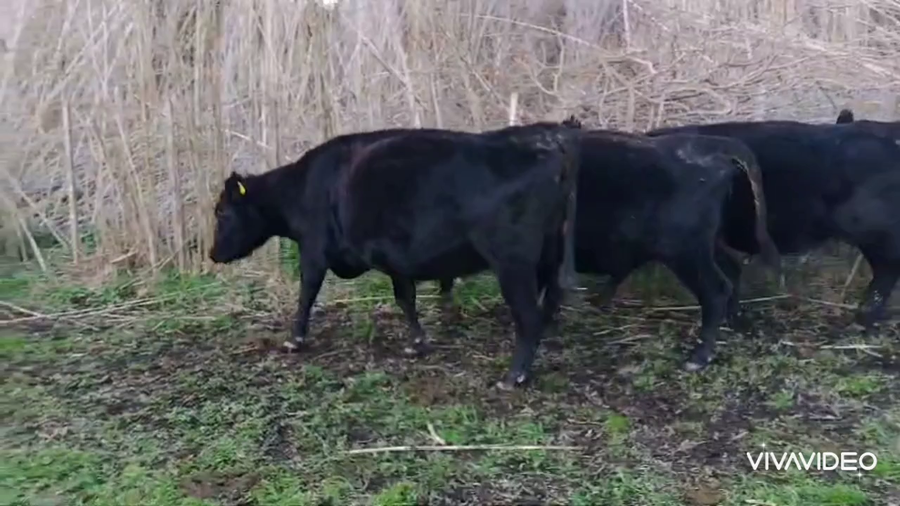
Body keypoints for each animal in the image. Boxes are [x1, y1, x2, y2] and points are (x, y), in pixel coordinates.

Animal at [208, 119, 582, 388]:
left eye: (222, 213)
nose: (212, 254)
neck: (304, 186)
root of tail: (549, 148)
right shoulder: (396, 258)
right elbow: (405, 297)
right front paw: (416, 342)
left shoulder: (314, 249)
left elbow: (307, 292)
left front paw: (295, 339)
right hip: (551, 253)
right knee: (550, 302)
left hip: (512, 262)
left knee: (528, 315)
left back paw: (513, 377)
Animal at [437, 129, 782, 372]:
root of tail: (714, 146)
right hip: (707, 244)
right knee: (733, 268)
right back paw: (734, 321)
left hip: (686, 251)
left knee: (715, 288)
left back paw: (698, 357)